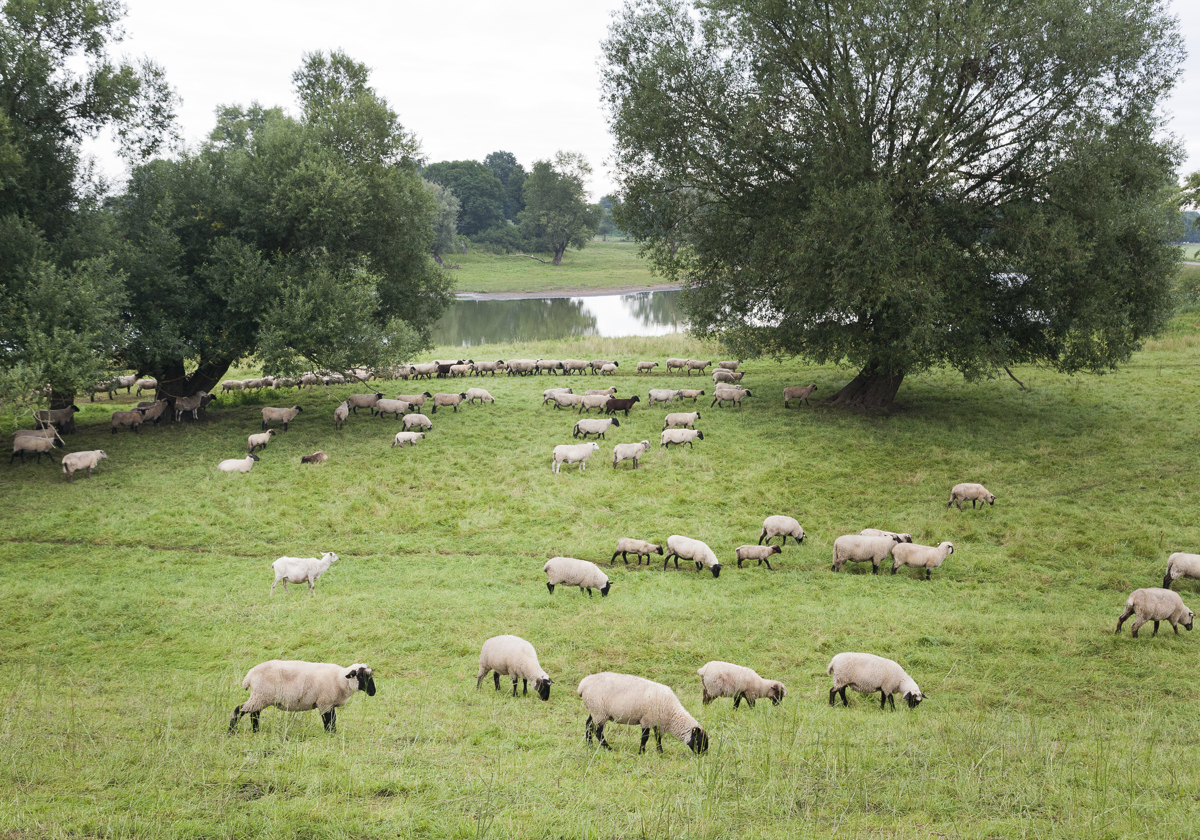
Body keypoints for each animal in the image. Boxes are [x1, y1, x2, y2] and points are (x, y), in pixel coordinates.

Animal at [226, 657, 372, 729]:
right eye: (360, 676)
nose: (373, 692)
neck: (339, 679)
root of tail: (249, 677)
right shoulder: (325, 703)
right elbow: (329, 720)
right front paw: (331, 733)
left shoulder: (328, 704)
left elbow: (332, 720)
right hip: (260, 696)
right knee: (240, 710)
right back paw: (232, 731)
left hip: (259, 697)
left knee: (253, 714)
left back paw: (255, 731)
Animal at [576, 667, 705, 753]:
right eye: (699, 740)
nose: (703, 754)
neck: (672, 714)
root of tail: (582, 686)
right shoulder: (647, 719)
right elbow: (645, 737)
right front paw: (641, 752)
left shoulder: (656, 721)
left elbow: (658, 737)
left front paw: (660, 751)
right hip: (599, 711)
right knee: (598, 731)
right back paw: (608, 748)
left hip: (594, 710)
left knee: (588, 725)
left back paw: (590, 745)